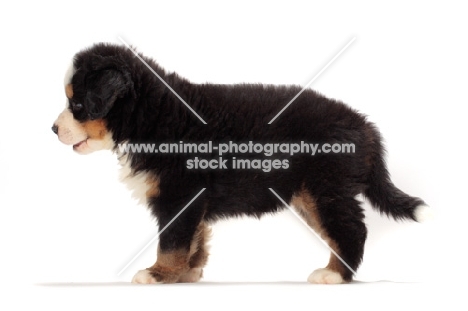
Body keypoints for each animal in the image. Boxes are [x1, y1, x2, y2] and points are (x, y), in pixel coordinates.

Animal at [52, 44, 432, 286]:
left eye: (78, 104)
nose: (53, 128)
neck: (152, 115)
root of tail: (365, 126)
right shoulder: (193, 200)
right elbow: (194, 239)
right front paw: (187, 273)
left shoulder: (179, 195)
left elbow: (172, 242)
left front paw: (159, 273)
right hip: (310, 195)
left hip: (326, 189)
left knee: (351, 230)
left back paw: (334, 275)